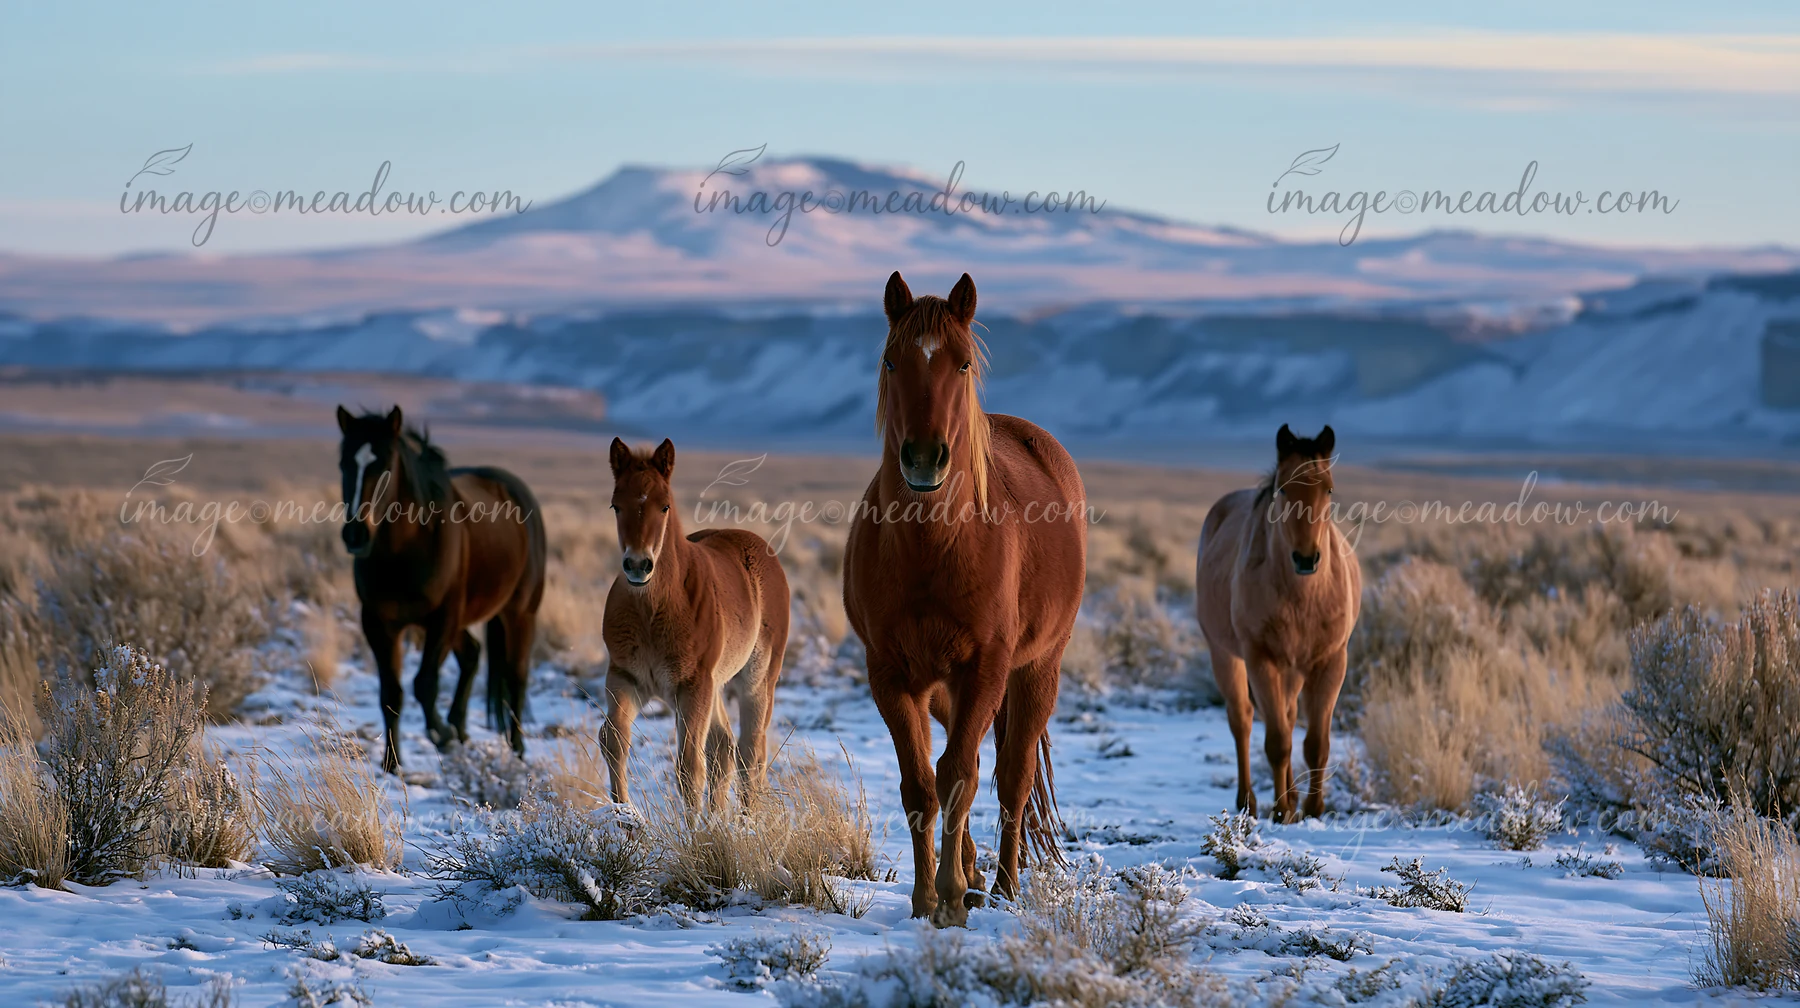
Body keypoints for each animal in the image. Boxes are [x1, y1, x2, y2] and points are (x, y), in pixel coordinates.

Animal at [336, 406, 547, 775]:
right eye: (344, 464)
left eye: (385, 464)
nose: (356, 535)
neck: (404, 551)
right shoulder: (378, 624)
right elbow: (391, 694)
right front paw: (392, 764)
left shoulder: (441, 619)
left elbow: (425, 684)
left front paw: (441, 734)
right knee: (473, 656)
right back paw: (461, 731)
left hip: (520, 613)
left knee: (516, 675)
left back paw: (516, 750)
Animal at [599, 437, 790, 812]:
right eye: (615, 505)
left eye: (664, 506)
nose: (638, 565)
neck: (653, 612)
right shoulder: (626, 678)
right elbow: (614, 742)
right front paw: (623, 815)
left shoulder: (692, 685)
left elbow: (689, 767)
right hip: (714, 686)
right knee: (724, 747)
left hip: (756, 681)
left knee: (750, 752)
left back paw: (746, 821)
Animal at [844, 271, 1087, 928]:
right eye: (891, 359)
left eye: (961, 364)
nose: (924, 458)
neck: (934, 547)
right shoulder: (891, 674)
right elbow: (921, 784)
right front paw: (927, 895)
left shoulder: (986, 668)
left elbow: (959, 776)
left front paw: (950, 898)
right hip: (942, 687)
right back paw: (975, 870)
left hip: (1036, 669)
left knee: (1011, 777)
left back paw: (1002, 886)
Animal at [1195, 424, 1361, 822]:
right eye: (1284, 488)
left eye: (1328, 488)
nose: (1305, 558)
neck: (1302, 597)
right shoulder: (1261, 659)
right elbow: (1277, 741)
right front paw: (1283, 810)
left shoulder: (1330, 662)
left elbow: (1316, 743)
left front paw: (1314, 809)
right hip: (1227, 656)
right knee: (1242, 720)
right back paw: (1250, 802)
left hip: (1293, 669)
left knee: (1287, 713)